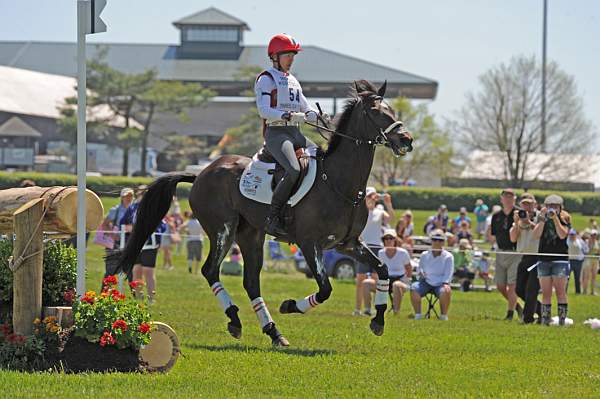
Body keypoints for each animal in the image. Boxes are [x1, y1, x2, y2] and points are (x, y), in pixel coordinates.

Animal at [112, 80, 412, 346]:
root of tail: (201, 174)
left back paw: (273, 332)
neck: (339, 183)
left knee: (251, 282)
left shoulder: (347, 244)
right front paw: (290, 305)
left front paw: (378, 319)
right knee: (211, 270)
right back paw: (235, 320)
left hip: (251, 235)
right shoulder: (309, 244)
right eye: (377, 112)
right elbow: (326, 289)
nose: (406, 139)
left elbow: (383, 269)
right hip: (223, 230)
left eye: (392, 110)